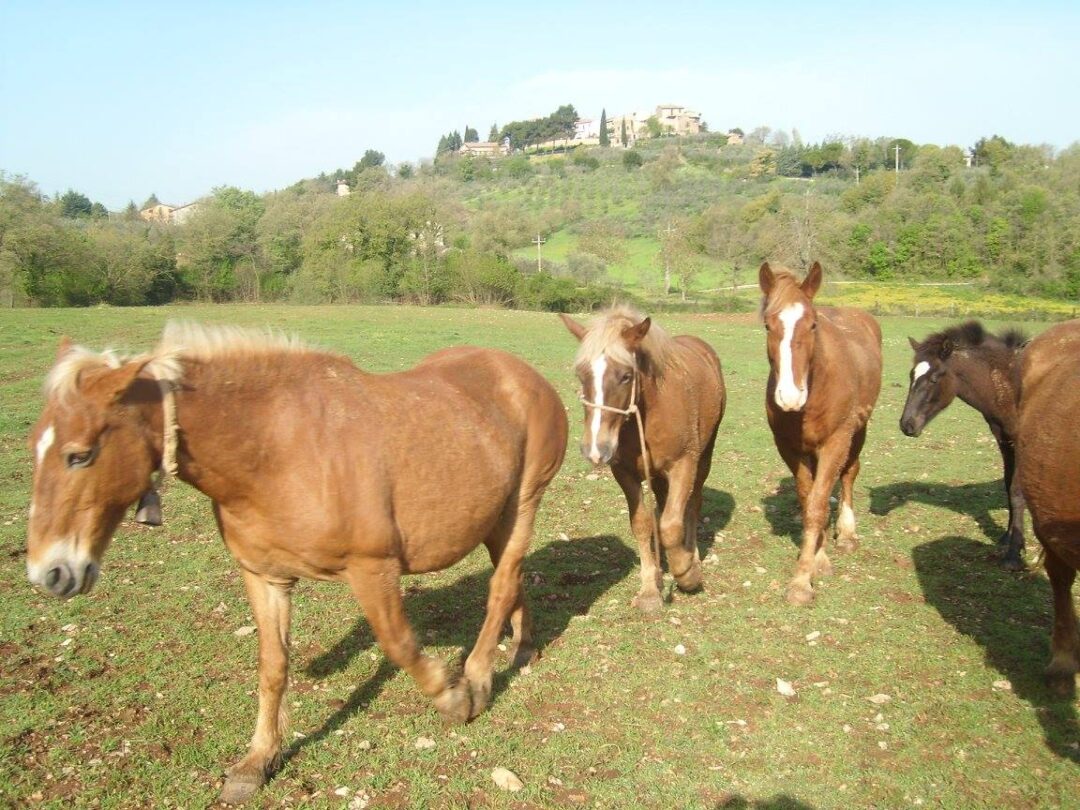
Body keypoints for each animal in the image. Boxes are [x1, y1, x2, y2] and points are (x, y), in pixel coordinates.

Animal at [25, 322, 568, 804]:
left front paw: (454, 699)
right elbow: (273, 666)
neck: (278, 447)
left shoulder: (373, 568)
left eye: (80, 455)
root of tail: (525, 376)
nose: (49, 573)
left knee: (500, 587)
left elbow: (400, 646)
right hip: (495, 518)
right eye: (37, 446)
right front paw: (256, 762)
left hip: (523, 504)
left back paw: (477, 678)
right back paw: (522, 646)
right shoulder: (264, 576)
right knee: (512, 577)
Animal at [560, 307, 726, 613]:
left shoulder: (684, 464)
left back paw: (692, 558)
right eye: (581, 374)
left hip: (704, 457)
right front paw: (650, 589)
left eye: (626, 376)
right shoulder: (625, 472)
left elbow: (672, 525)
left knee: (692, 505)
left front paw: (686, 573)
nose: (595, 448)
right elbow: (643, 523)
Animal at [759, 261, 882, 605]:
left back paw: (847, 533)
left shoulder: (835, 444)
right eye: (768, 326)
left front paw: (802, 581)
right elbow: (809, 500)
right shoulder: (790, 449)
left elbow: (818, 504)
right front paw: (818, 559)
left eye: (813, 325)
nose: (790, 396)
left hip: (858, 431)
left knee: (849, 474)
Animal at [900, 321, 1029, 569]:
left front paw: (1014, 554)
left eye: (934, 378)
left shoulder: (1021, 444)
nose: (906, 425)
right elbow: (1008, 485)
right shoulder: (1004, 441)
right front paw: (1006, 538)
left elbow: (1017, 492)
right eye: (911, 375)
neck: (1010, 384)